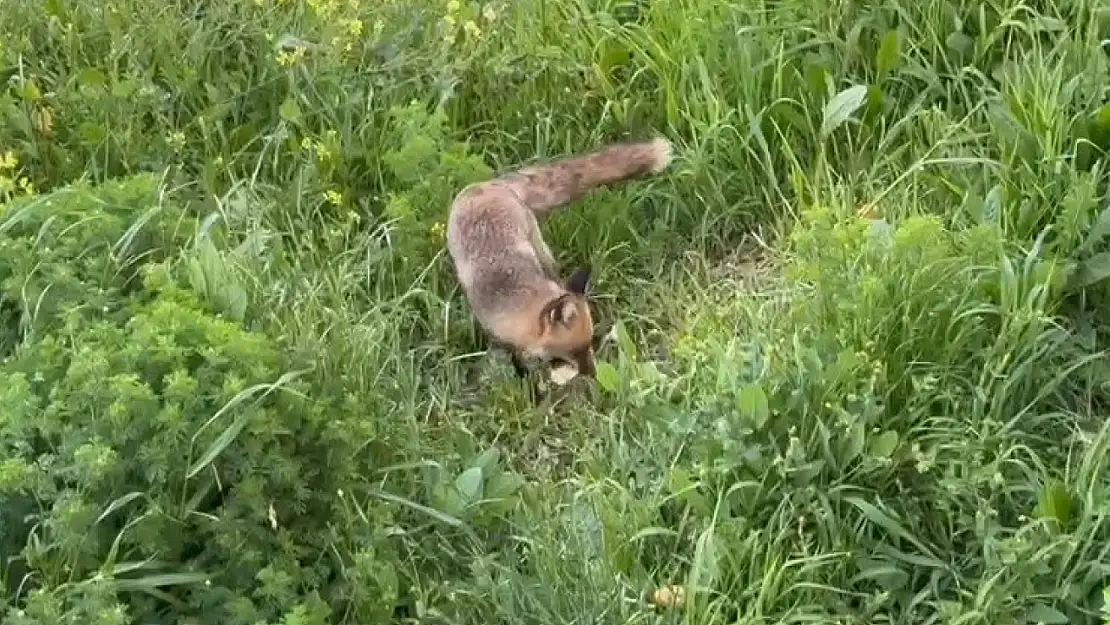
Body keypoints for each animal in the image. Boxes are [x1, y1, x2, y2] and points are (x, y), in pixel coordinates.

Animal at [444, 136, 670, 379]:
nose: (594, 374)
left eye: (590, 343)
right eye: (574, 350)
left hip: (539, 245)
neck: (514, 299)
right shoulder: (498, 334)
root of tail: (487, 185)